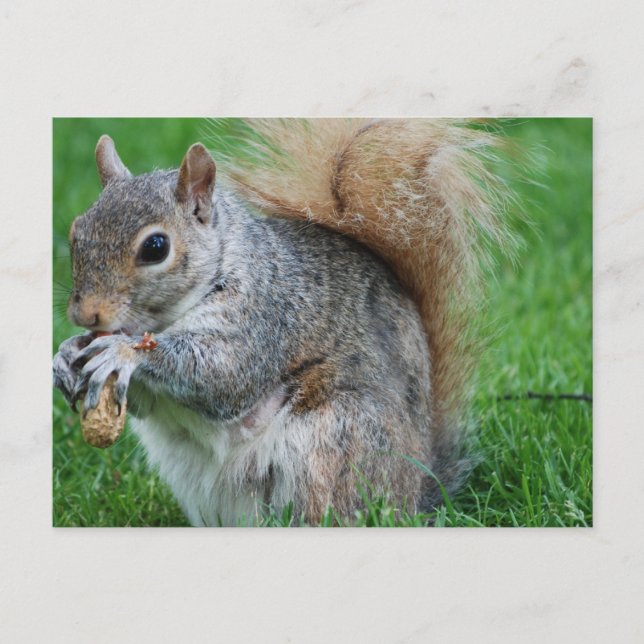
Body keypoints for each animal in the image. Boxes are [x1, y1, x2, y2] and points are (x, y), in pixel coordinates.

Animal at [53, 119, 511, 526]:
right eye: (76, 231)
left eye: (156, 247)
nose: (86, 314)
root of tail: (416, 495)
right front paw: (66, 354)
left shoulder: (265, 313)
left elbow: (223, 374)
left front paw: (122, 351)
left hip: (333, 445)